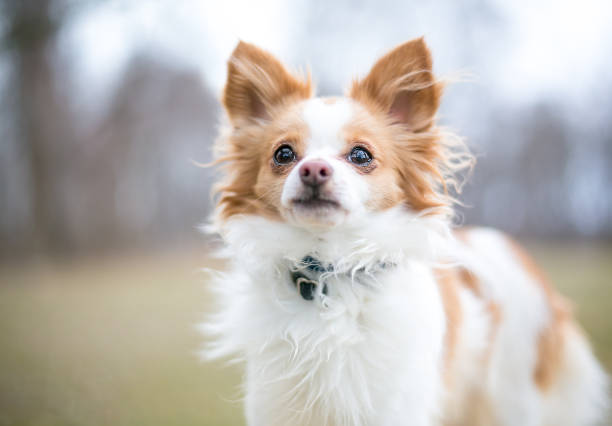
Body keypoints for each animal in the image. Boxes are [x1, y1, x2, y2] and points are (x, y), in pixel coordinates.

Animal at [204, 38, 608, 424]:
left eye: (361, 155)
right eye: (284, 154)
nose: (313, 169)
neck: (332, 274)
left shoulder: (396, 407)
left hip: (513, 397)